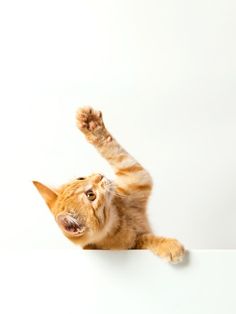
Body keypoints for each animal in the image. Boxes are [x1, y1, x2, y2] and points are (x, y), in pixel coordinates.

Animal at [33, 107, 184, 262]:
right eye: (91, 195)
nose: (99, 176)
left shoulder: (135, 174)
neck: (120, 216)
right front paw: (168, 246)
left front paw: (92, 124)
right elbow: (145, 239)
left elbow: (114, 151)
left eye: (81, 178)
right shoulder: (131, 245)